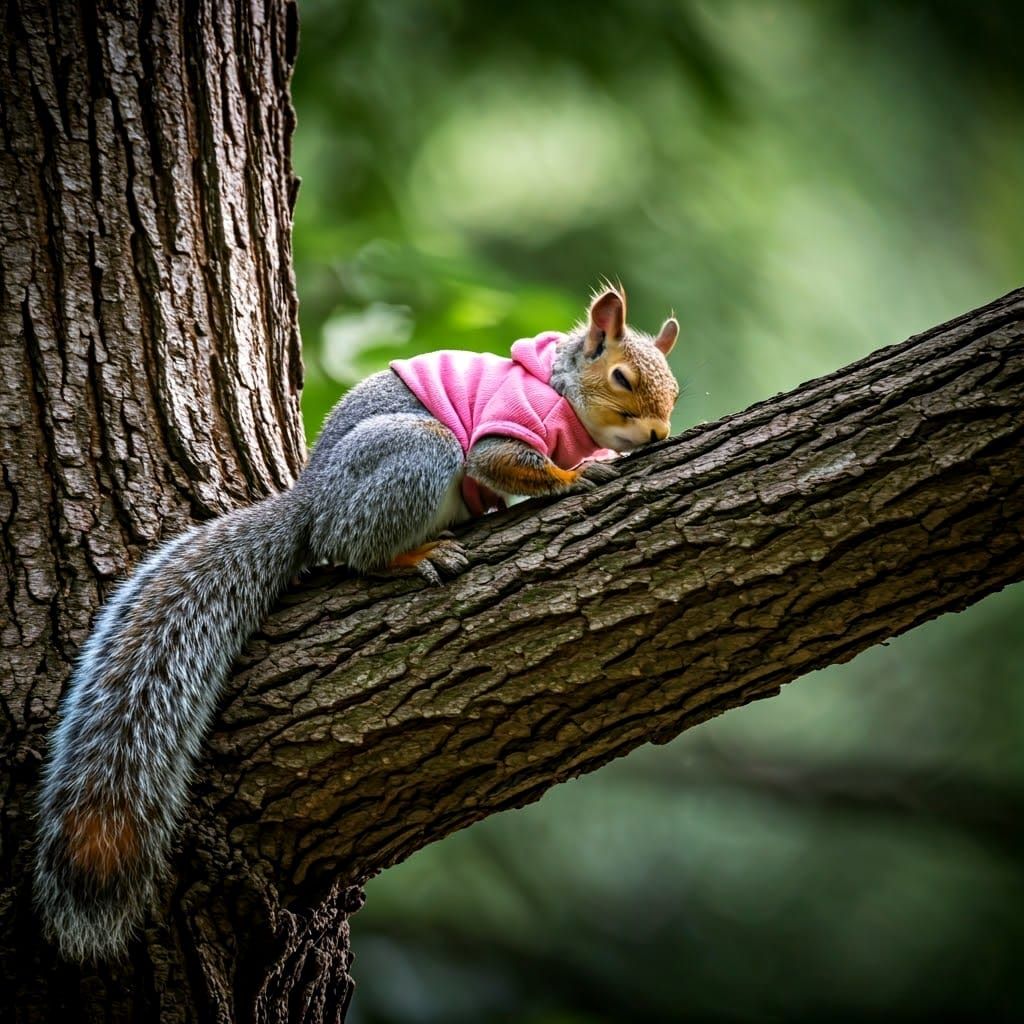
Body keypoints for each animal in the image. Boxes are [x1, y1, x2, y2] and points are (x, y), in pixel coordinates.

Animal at [34, 285, 679, 961]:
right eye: (621, 377)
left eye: (673, 388)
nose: (660, 432)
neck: (560, 387)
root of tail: (312, 504)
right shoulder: (504, 426)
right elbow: (503, 462)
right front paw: (576, 474)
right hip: (417, 454)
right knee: (356, 547)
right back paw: (416, 555)